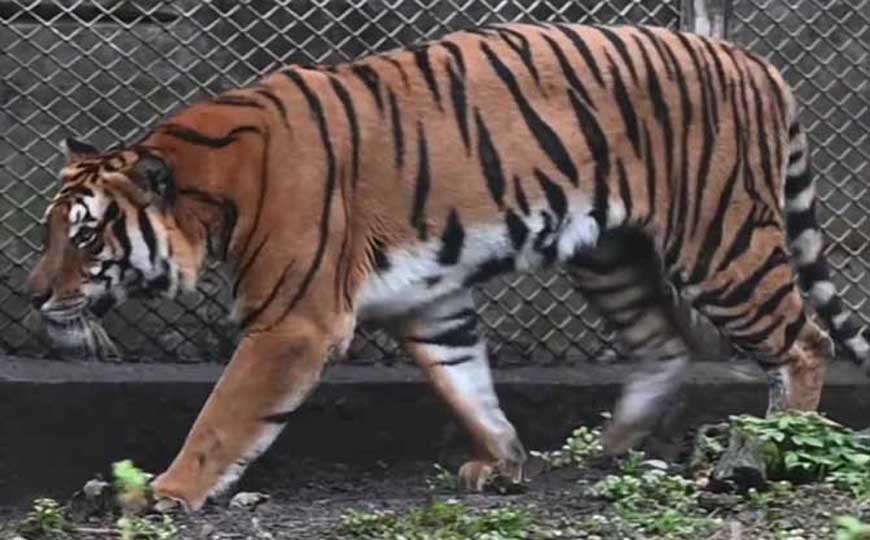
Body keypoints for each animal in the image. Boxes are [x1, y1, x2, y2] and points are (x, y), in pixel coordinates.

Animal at [27, 22, 869, 511]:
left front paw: (166, 491)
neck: (214, 197)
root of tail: (755, 60)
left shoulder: (293, 324)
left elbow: (224, 417)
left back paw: (765, 455)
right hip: (609, 252)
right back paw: (607, 448)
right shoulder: (429, 303)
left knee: (803, 341)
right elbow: (466, 386)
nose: (32, 296)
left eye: (87, 238)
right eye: (50, 233)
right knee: (666, 344)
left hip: (720, 240)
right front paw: (503, 463)